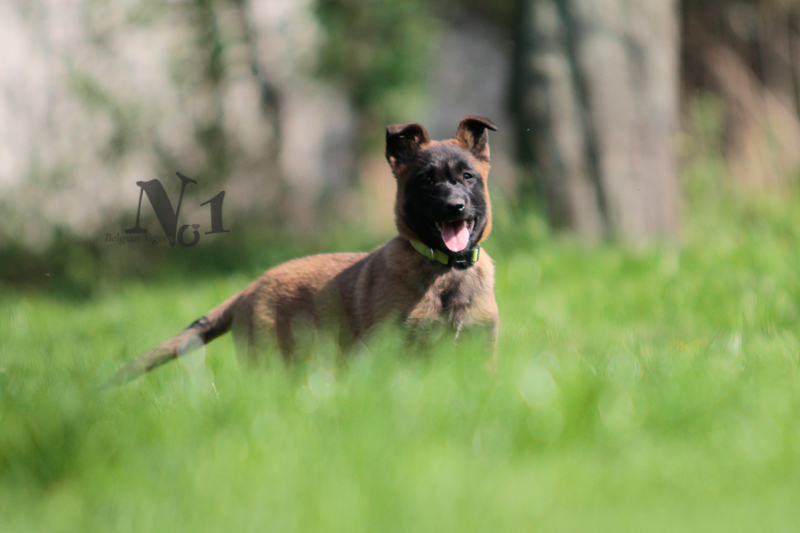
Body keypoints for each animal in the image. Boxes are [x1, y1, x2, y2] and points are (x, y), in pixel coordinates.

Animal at [110, 117, 499, 384]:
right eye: (428, 180)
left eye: (467, 177)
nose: (455, 207)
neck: (446, 270)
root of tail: (248, 290)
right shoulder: (398, 352)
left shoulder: (480, 353)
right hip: (270, 365)